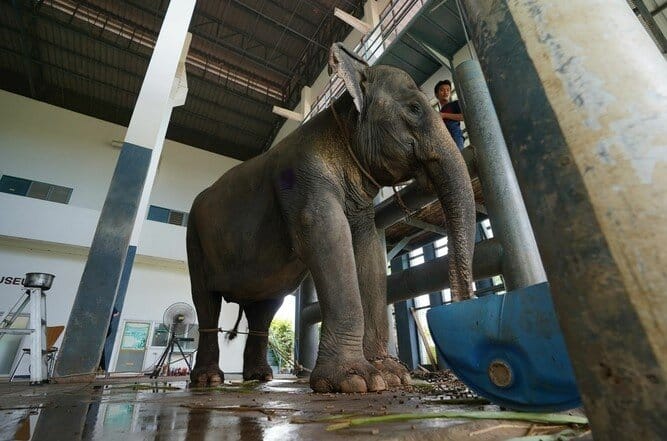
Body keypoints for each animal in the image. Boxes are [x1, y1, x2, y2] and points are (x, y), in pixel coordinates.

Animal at [187, 41, 480, 392]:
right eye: (414, 109)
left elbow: (368, 250)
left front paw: (391, 376)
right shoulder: (303, 176)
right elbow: (327, 238)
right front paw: (355, 381)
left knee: (265, 307)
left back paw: (259, 377)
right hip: (194, 238)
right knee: (206, 300)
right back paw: (209, 380)